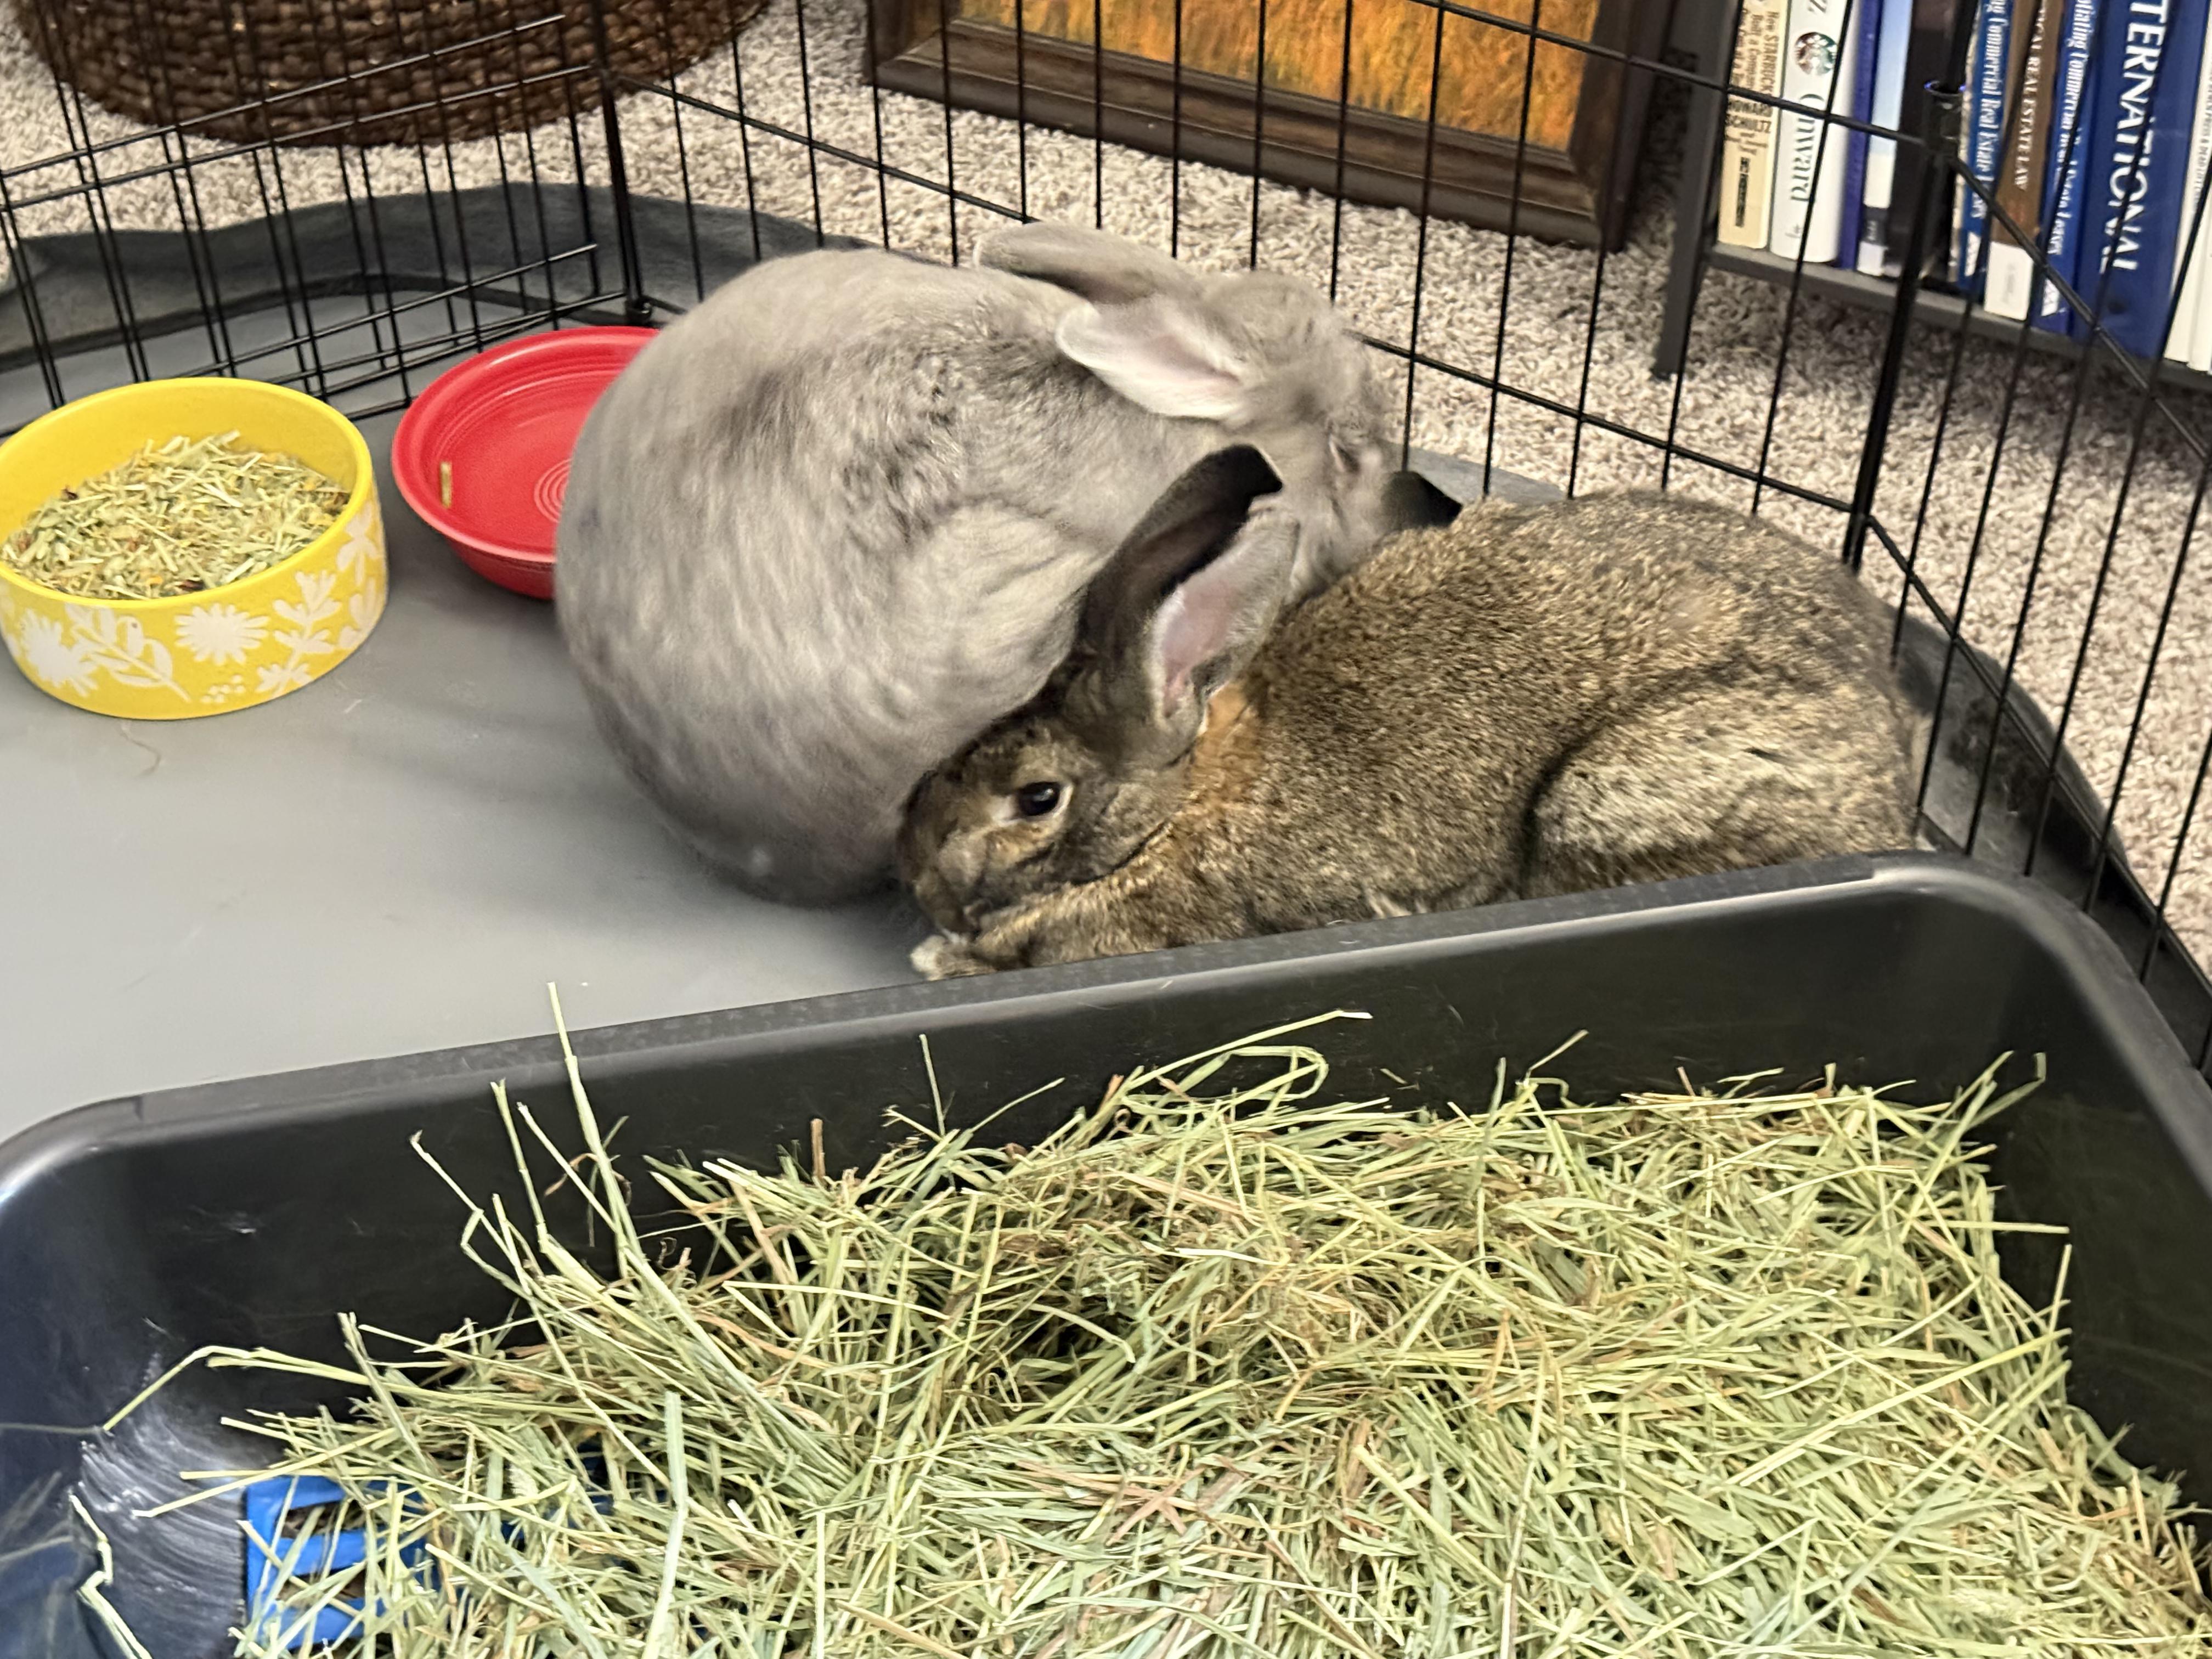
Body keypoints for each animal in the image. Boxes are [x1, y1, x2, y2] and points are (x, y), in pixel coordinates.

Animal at [898, 447, 1924, 978]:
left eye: (1036, 798)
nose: (917, 877)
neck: (1180, 810)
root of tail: (1890, 771)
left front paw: (941, 960)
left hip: (1613, 797)